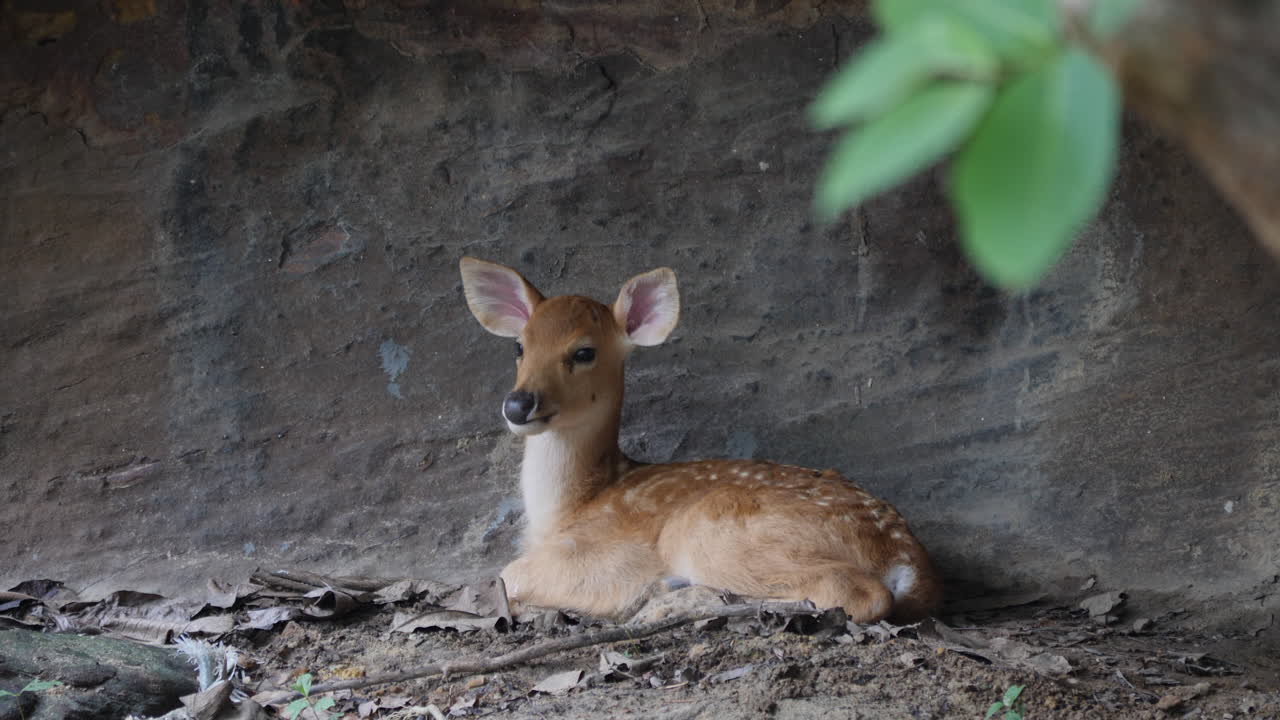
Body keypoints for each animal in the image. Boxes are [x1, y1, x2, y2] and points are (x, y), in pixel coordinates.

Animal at [459, 257, 942, 624]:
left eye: (583, 352)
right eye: (519, 347)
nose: (518, 404)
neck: (566, 509)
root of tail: (906, 558)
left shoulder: (603, 555)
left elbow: (508, 575)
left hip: (708, 530)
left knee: (858, 594)